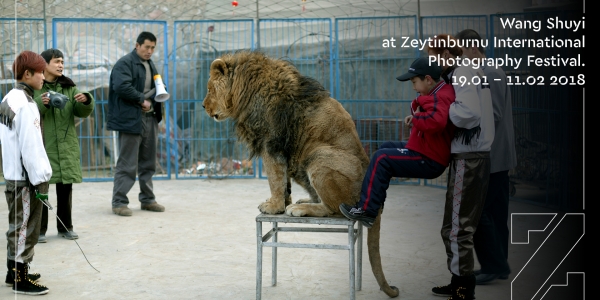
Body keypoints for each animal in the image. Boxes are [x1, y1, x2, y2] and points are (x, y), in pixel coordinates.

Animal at [204, 50, 400, 296]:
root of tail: (374, 200)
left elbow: (274, 178)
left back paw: (300, 209)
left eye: (210, 89)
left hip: (318, 156)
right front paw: (282, 202)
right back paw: (303, 200)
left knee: (335, 210)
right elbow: (282, 182)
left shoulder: (271, 143)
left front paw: (274, 206)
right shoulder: (280, 150)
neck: (245, 87)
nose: (204, 107)